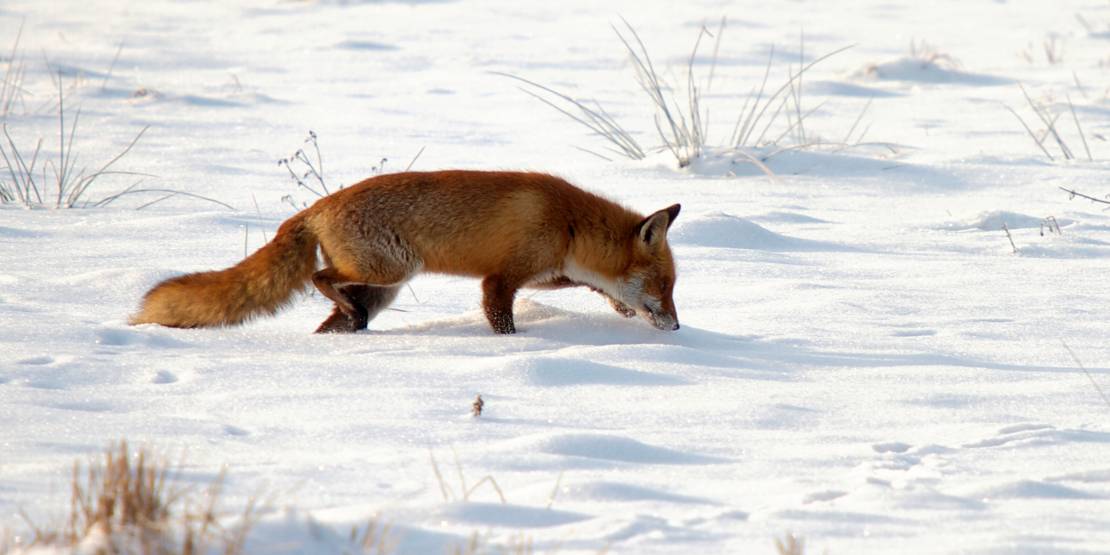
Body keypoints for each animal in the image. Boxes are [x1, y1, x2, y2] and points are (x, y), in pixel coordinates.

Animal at [130, 170, 681, 335]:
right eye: (664, 285)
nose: (677, 327)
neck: (568, 225)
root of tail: (317, 207)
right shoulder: (501, 279)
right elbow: (502, 319)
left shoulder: (546, 270)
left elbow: (586, 283)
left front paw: (618, 306)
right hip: (391, 269)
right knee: (320, 278)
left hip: (383, 286)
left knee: (334, 313)